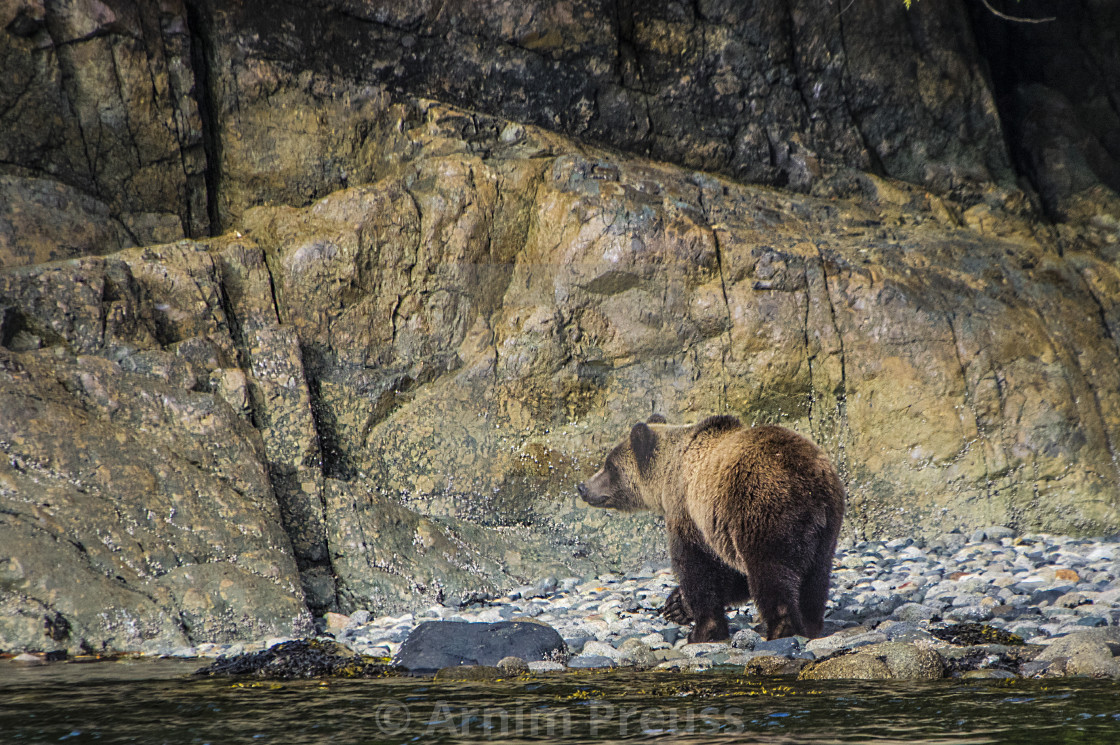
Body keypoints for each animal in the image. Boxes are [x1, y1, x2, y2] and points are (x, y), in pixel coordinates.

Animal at [573, 414, 842, 640]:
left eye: (609, 465)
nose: (582, 487)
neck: (669, 473)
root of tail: (809, 480)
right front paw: (676, 605)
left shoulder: (690, 513)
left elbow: (696, 567)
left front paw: (702, 630)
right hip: (825, 530)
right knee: (815, 579)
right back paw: (810, 624)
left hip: (763, 509)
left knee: (770, 573)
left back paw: (780, 629)